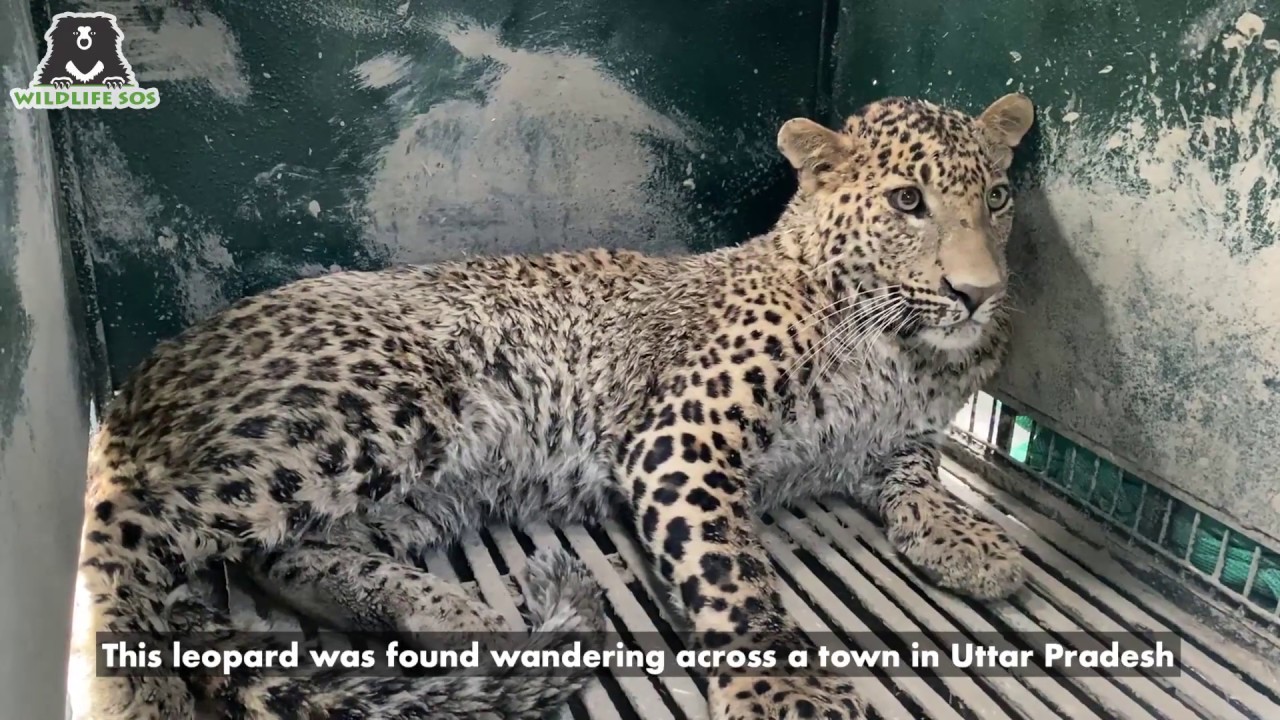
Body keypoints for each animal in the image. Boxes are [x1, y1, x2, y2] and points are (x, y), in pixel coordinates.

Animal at [69, 91, 1035, 720]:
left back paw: (458, 618)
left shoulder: (892, 439)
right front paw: (787, 688)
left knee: (280, 556)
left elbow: (917, 473)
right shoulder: (682, 437)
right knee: (126, 520)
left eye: (996, 197)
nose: (981, 294)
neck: (897, 347)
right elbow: (734, 571)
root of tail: (156, 361)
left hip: (412, 488)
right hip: (379, 402)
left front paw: (967, 537)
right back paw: (133, 691)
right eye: (907, 201)